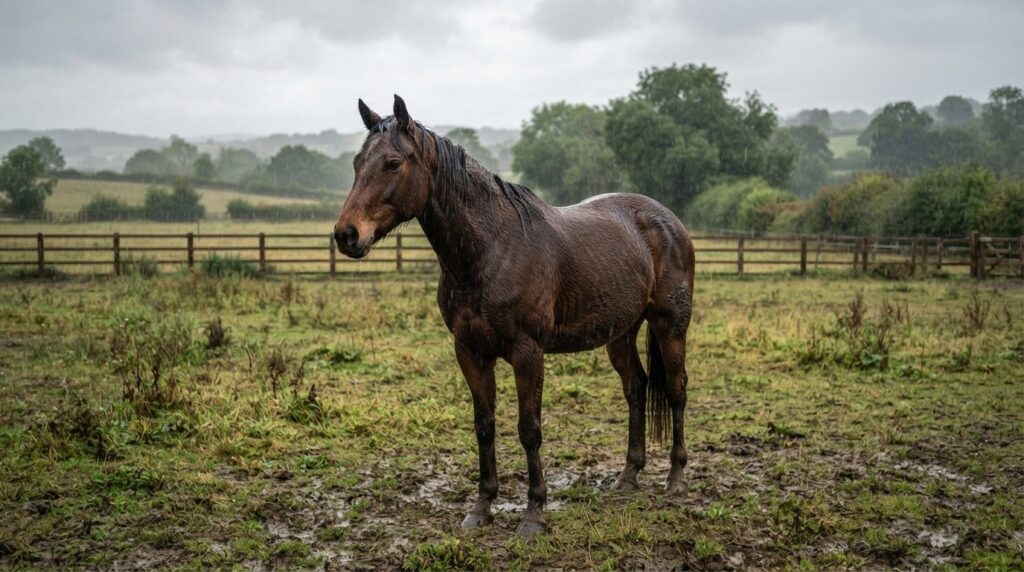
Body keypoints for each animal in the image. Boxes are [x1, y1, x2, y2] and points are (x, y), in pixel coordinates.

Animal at [334, 95, 695, 536]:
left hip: (670, 325)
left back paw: (676, 478)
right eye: (357, 163)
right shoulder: (470, 352)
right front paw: (481, 507)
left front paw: (534, 513)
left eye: (391, 163)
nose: (346, 235)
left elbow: (529, 430)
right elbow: (484, 425)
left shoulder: (528, 354)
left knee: (676, 390)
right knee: (637, 389)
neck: (491, 249)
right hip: (620, 333)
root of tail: (667, 220)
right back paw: (628, 476)